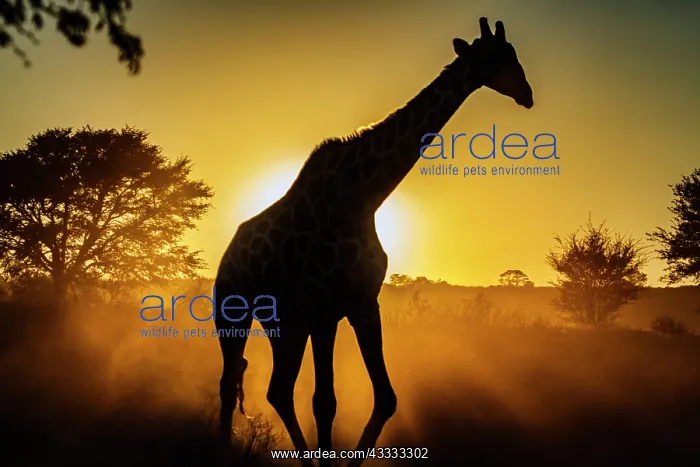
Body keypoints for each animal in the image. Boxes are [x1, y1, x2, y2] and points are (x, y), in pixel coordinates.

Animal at [214, 17, 533, 467]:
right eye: (494, 58)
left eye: (514, 54)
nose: (527, 94)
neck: (363, 197)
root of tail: (227, 256)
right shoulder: (325, 309)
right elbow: (325, 400)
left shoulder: (362, 302)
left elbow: (384, 398)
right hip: (233, 312)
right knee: (231, 382)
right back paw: (223, 447)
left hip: (283, 321)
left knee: (276, 388)